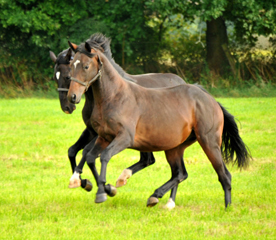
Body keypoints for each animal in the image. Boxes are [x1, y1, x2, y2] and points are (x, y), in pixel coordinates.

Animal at [50, 32, 188, 209]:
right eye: (55, 77)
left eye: (67, 76)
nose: (68, 105)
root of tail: (182, 82)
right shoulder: (92, 130)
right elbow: (73, 150)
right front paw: (83, 182)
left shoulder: (104, 134)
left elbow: (87, 152)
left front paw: (103, 187)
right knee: (151, 161)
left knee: (165, 166)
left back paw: (168, 201)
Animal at [67, 40, 252, 208]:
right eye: (71, 65)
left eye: (86, 66)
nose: (72, 97)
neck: (114, 97)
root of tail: (212, 100)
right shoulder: (103, 137)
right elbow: (90, 156)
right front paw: (104, 188)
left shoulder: (124, 138)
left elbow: (104, 156)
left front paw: (102, 192)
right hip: (174, 148)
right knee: (180, 174)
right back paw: (159, 198)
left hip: (209, 142)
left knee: (224, 175)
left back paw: (227, 208)